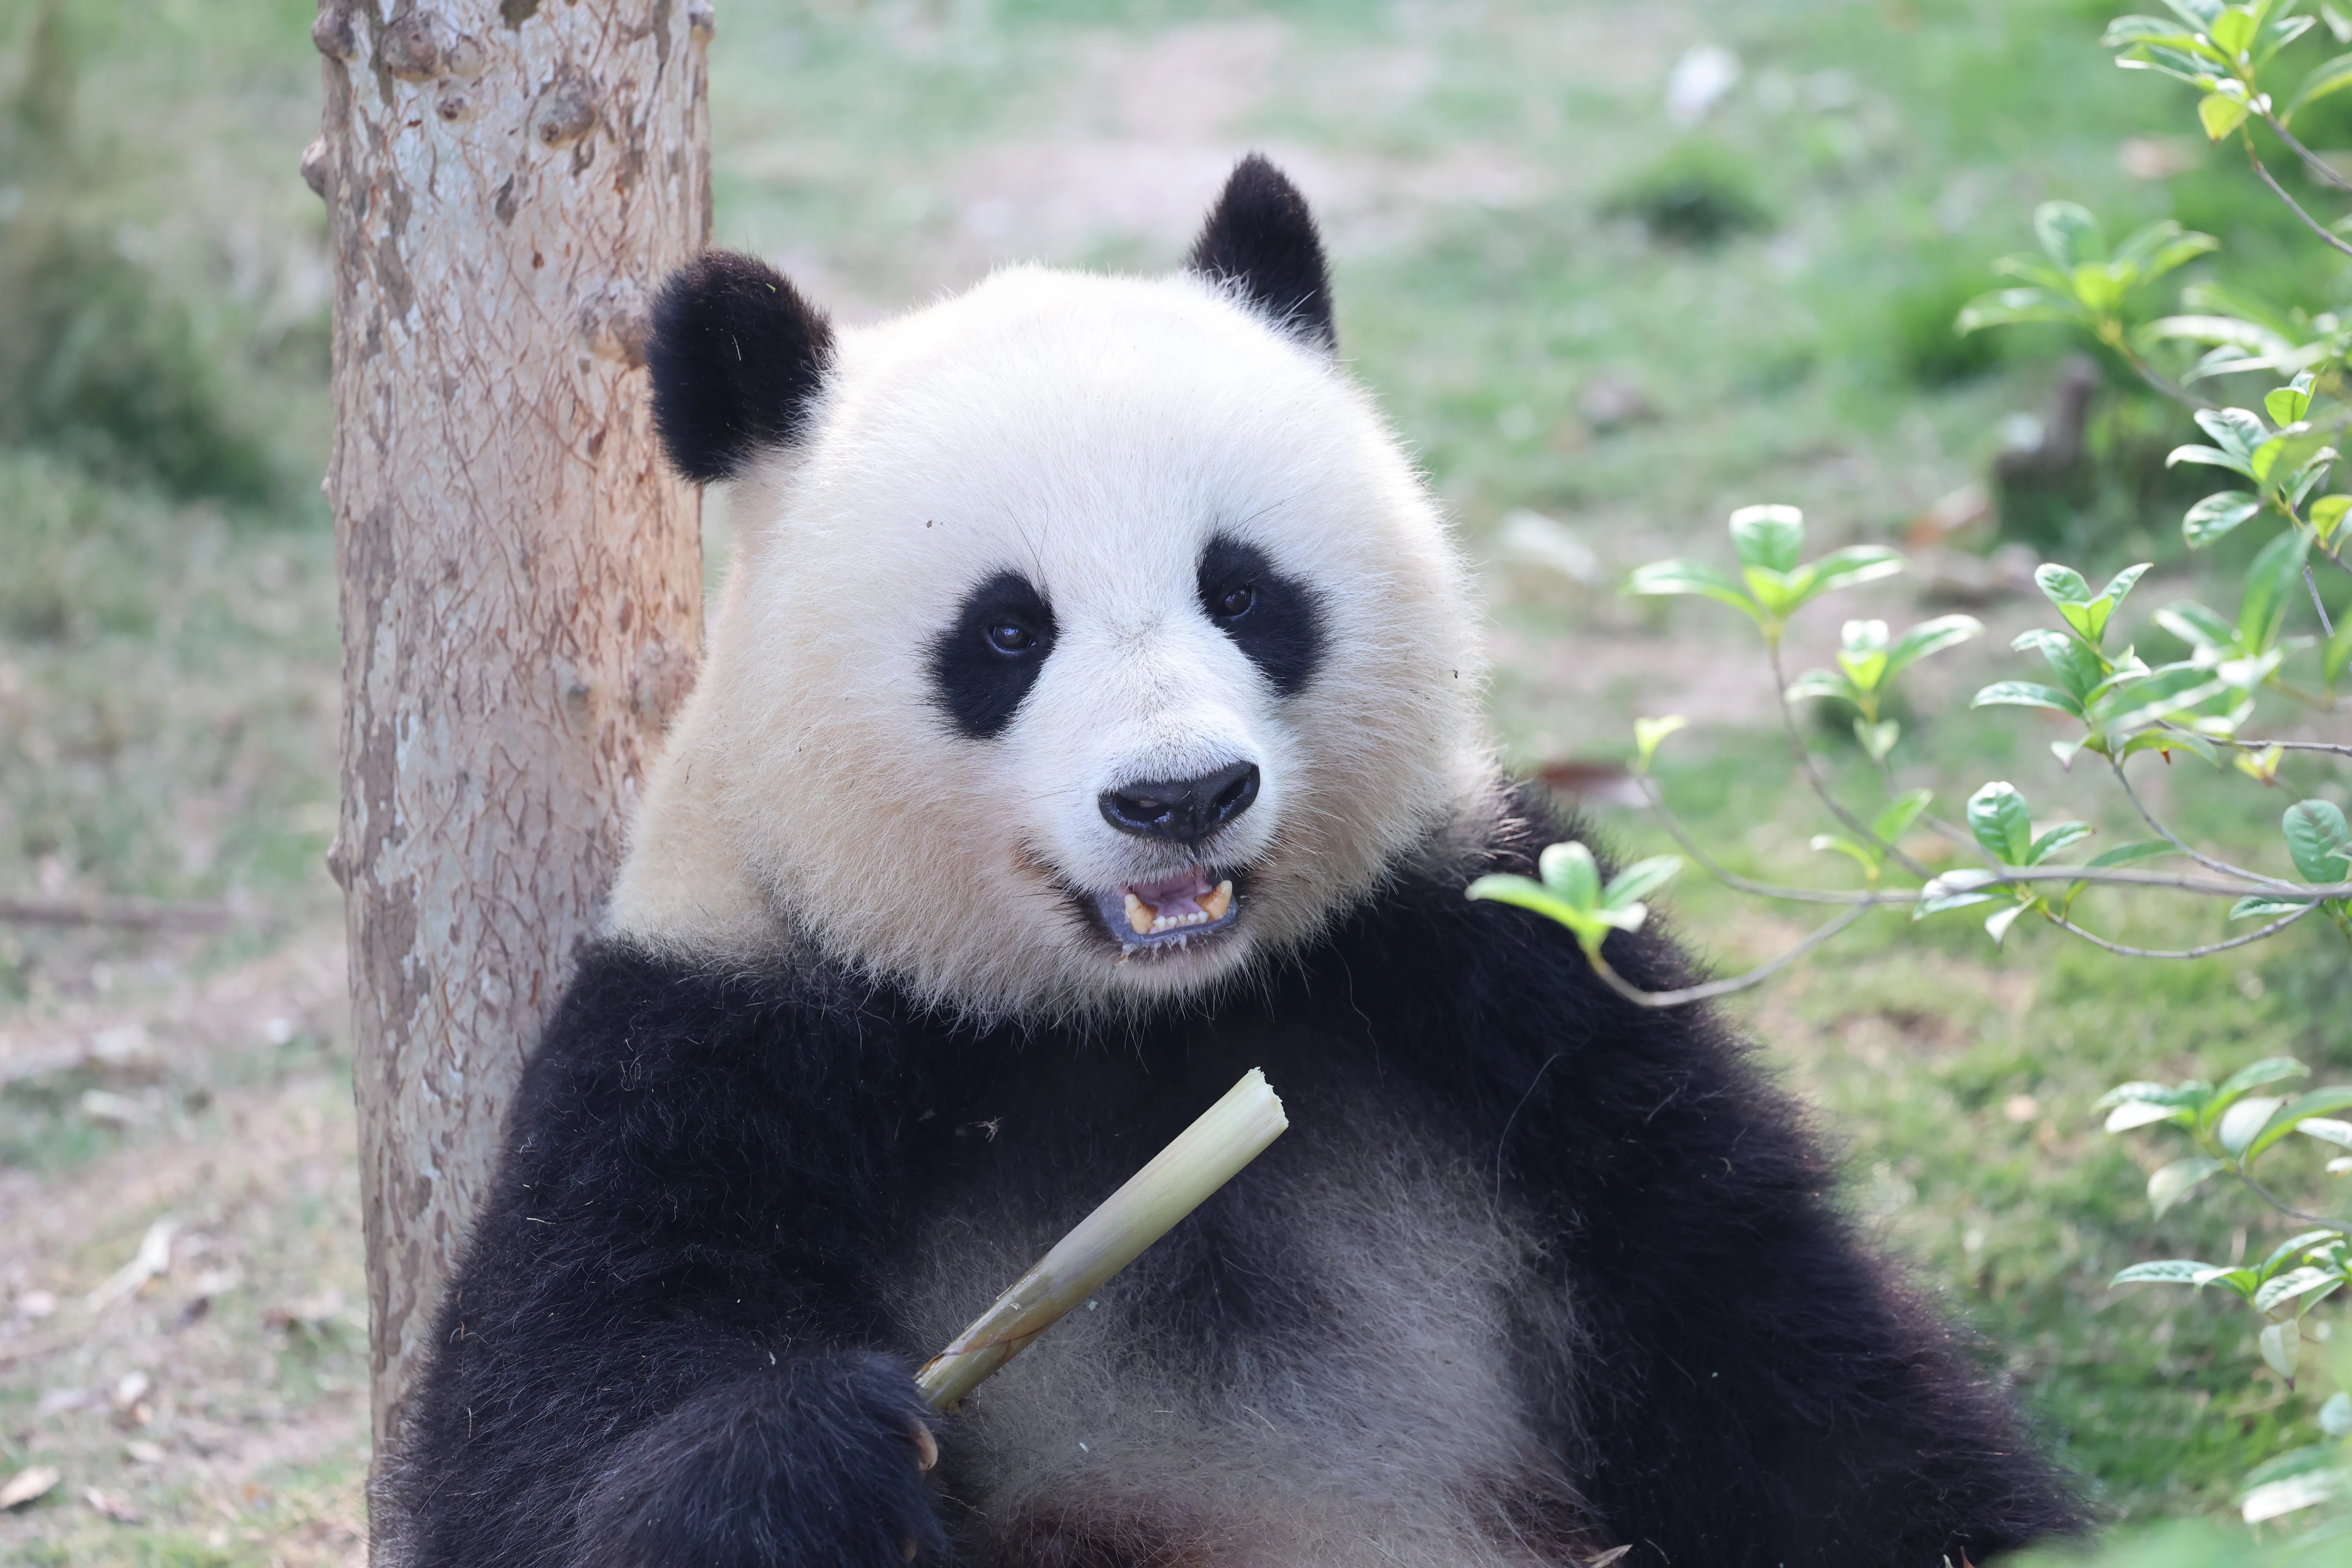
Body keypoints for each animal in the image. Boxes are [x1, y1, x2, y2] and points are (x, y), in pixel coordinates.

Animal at [385, 157, 2083, 1568]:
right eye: (1006, 631)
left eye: (1245, 589)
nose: (1179, 795)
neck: (1149, 1018)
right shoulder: (726, 1029)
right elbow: (551, 1409)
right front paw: (809, 1465)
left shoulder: (1495, 968)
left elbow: (1764, 1337)